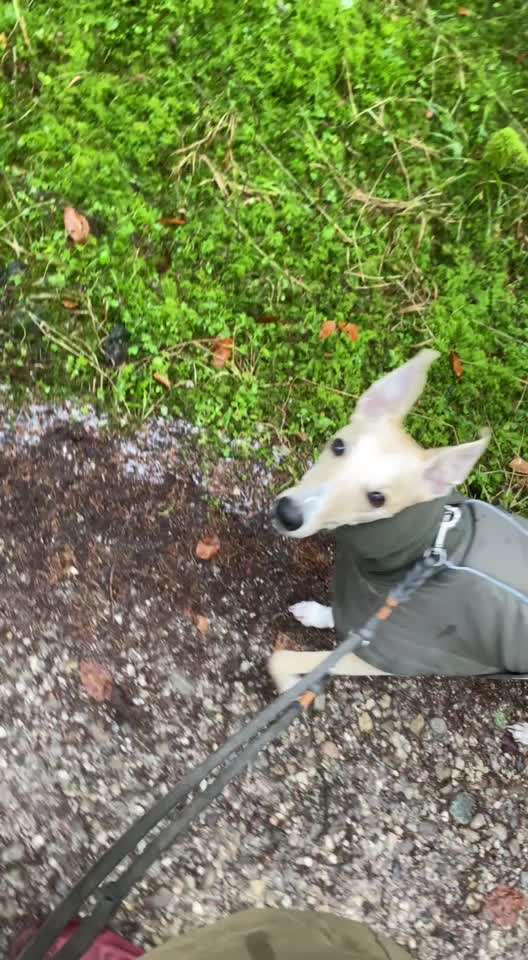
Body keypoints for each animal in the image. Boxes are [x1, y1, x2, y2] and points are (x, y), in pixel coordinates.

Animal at [270, 344, 528, 728]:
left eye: (378, 498)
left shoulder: (388, 658)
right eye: (338, 445)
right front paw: (317, 614)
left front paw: (292, 691)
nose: (287, 514)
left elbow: (281, 658)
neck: (429, 547)